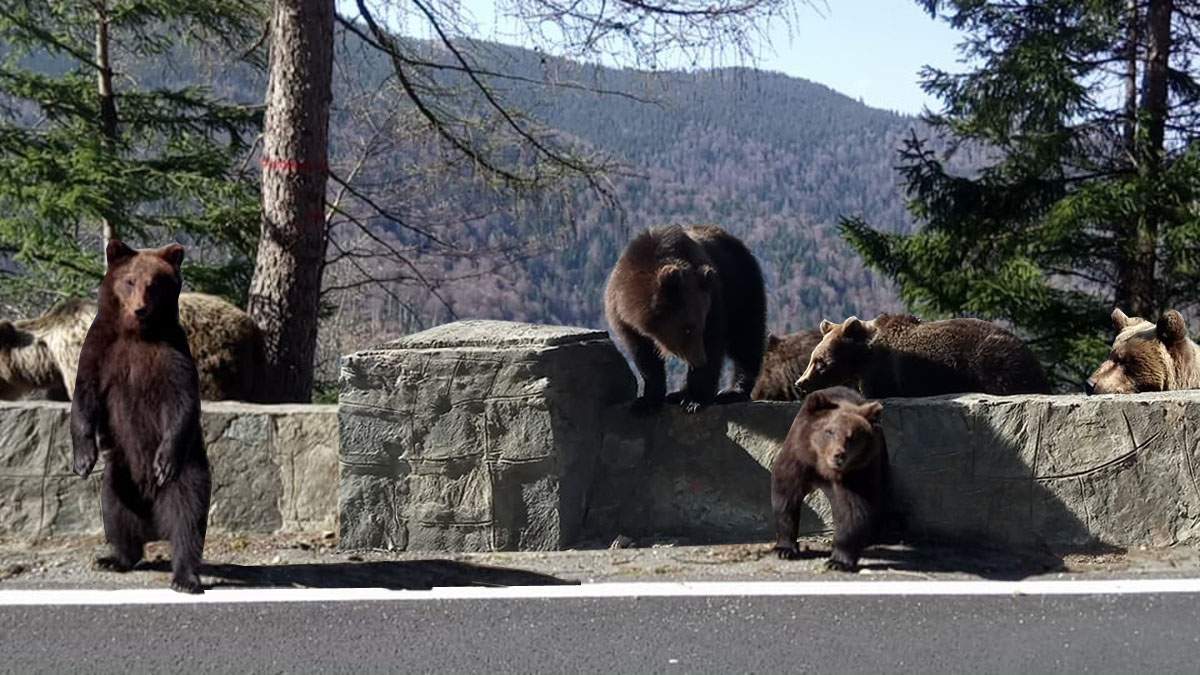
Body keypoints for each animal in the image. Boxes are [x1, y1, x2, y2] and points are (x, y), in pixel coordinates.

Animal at [71, 239, 211, 590]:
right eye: (130, 281)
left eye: (155, 284)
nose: (140, 308)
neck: (136, 333)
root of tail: (153, 518)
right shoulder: (101, 350)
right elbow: (84, 396)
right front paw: (83, 459)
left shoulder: (172, 355)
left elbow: (182, 402)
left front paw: (163, 461)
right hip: (120, 474)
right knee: (116, 513)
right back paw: (114, 558)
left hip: (188, 470)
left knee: (187, 517)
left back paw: (185, 577)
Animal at [604, 223, 763, 413]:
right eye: (687, 328)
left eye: (698, 326)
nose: (700, 360)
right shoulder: (624, 320)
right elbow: (645, 358)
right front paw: (646, 402)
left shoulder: (714, 300)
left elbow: (714, 342)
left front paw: (696, 400)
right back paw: (677, 394)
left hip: (743, 287)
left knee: (746, 336)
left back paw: (733, 391)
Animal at [772, 384, 888, 566]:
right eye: (829, 431)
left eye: (852, 436)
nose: (838, 455)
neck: (823, 467)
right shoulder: (799, 459)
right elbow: (786, 497)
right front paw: (784, 549)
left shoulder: (856, 473)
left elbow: (852, 509)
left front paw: (838, 560)